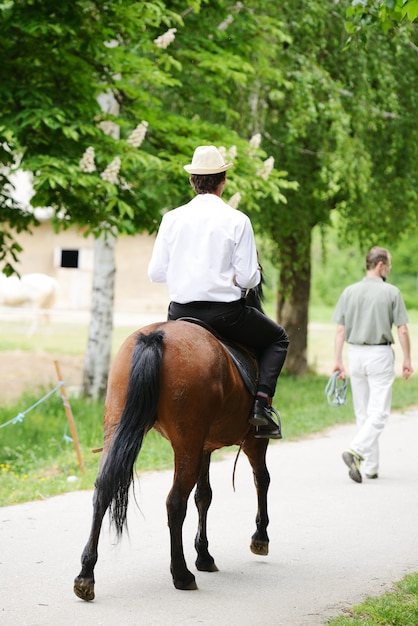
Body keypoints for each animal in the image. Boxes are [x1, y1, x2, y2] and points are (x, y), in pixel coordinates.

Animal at [74, 314, 272, 596]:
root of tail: (155, 336)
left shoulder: (204, 446)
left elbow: (204, 496)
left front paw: (204, 555)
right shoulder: (254, 440)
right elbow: (261, 480)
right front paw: (260, 538)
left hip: (119, 430)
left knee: (103, 489)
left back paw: (85, 575)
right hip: (189, 442)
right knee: (175, 502)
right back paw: (181, 573)